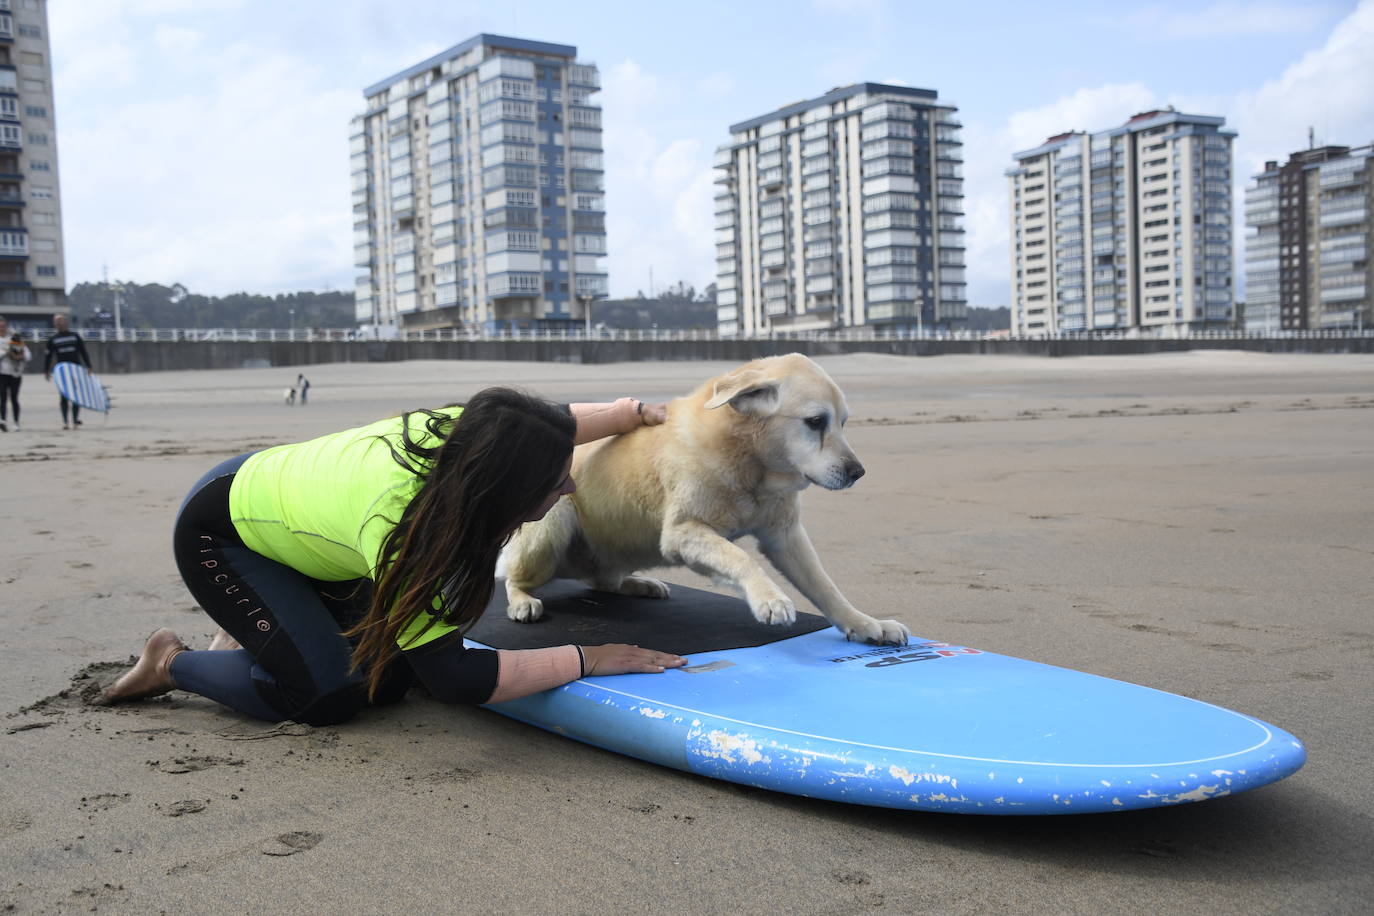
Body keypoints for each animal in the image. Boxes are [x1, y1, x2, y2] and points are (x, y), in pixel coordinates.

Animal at [505, 351, 912, 645]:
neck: (751, 463)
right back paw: (522, 600)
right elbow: (740, 557)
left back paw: (638, 584)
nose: (858, 472)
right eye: (815, 422)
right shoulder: (683, 533)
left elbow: (826, 586)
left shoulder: (785, 536)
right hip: (553, 522)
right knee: (515, 577)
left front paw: (865, 623)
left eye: (843, 422)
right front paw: (769, 598)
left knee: (601, 581)